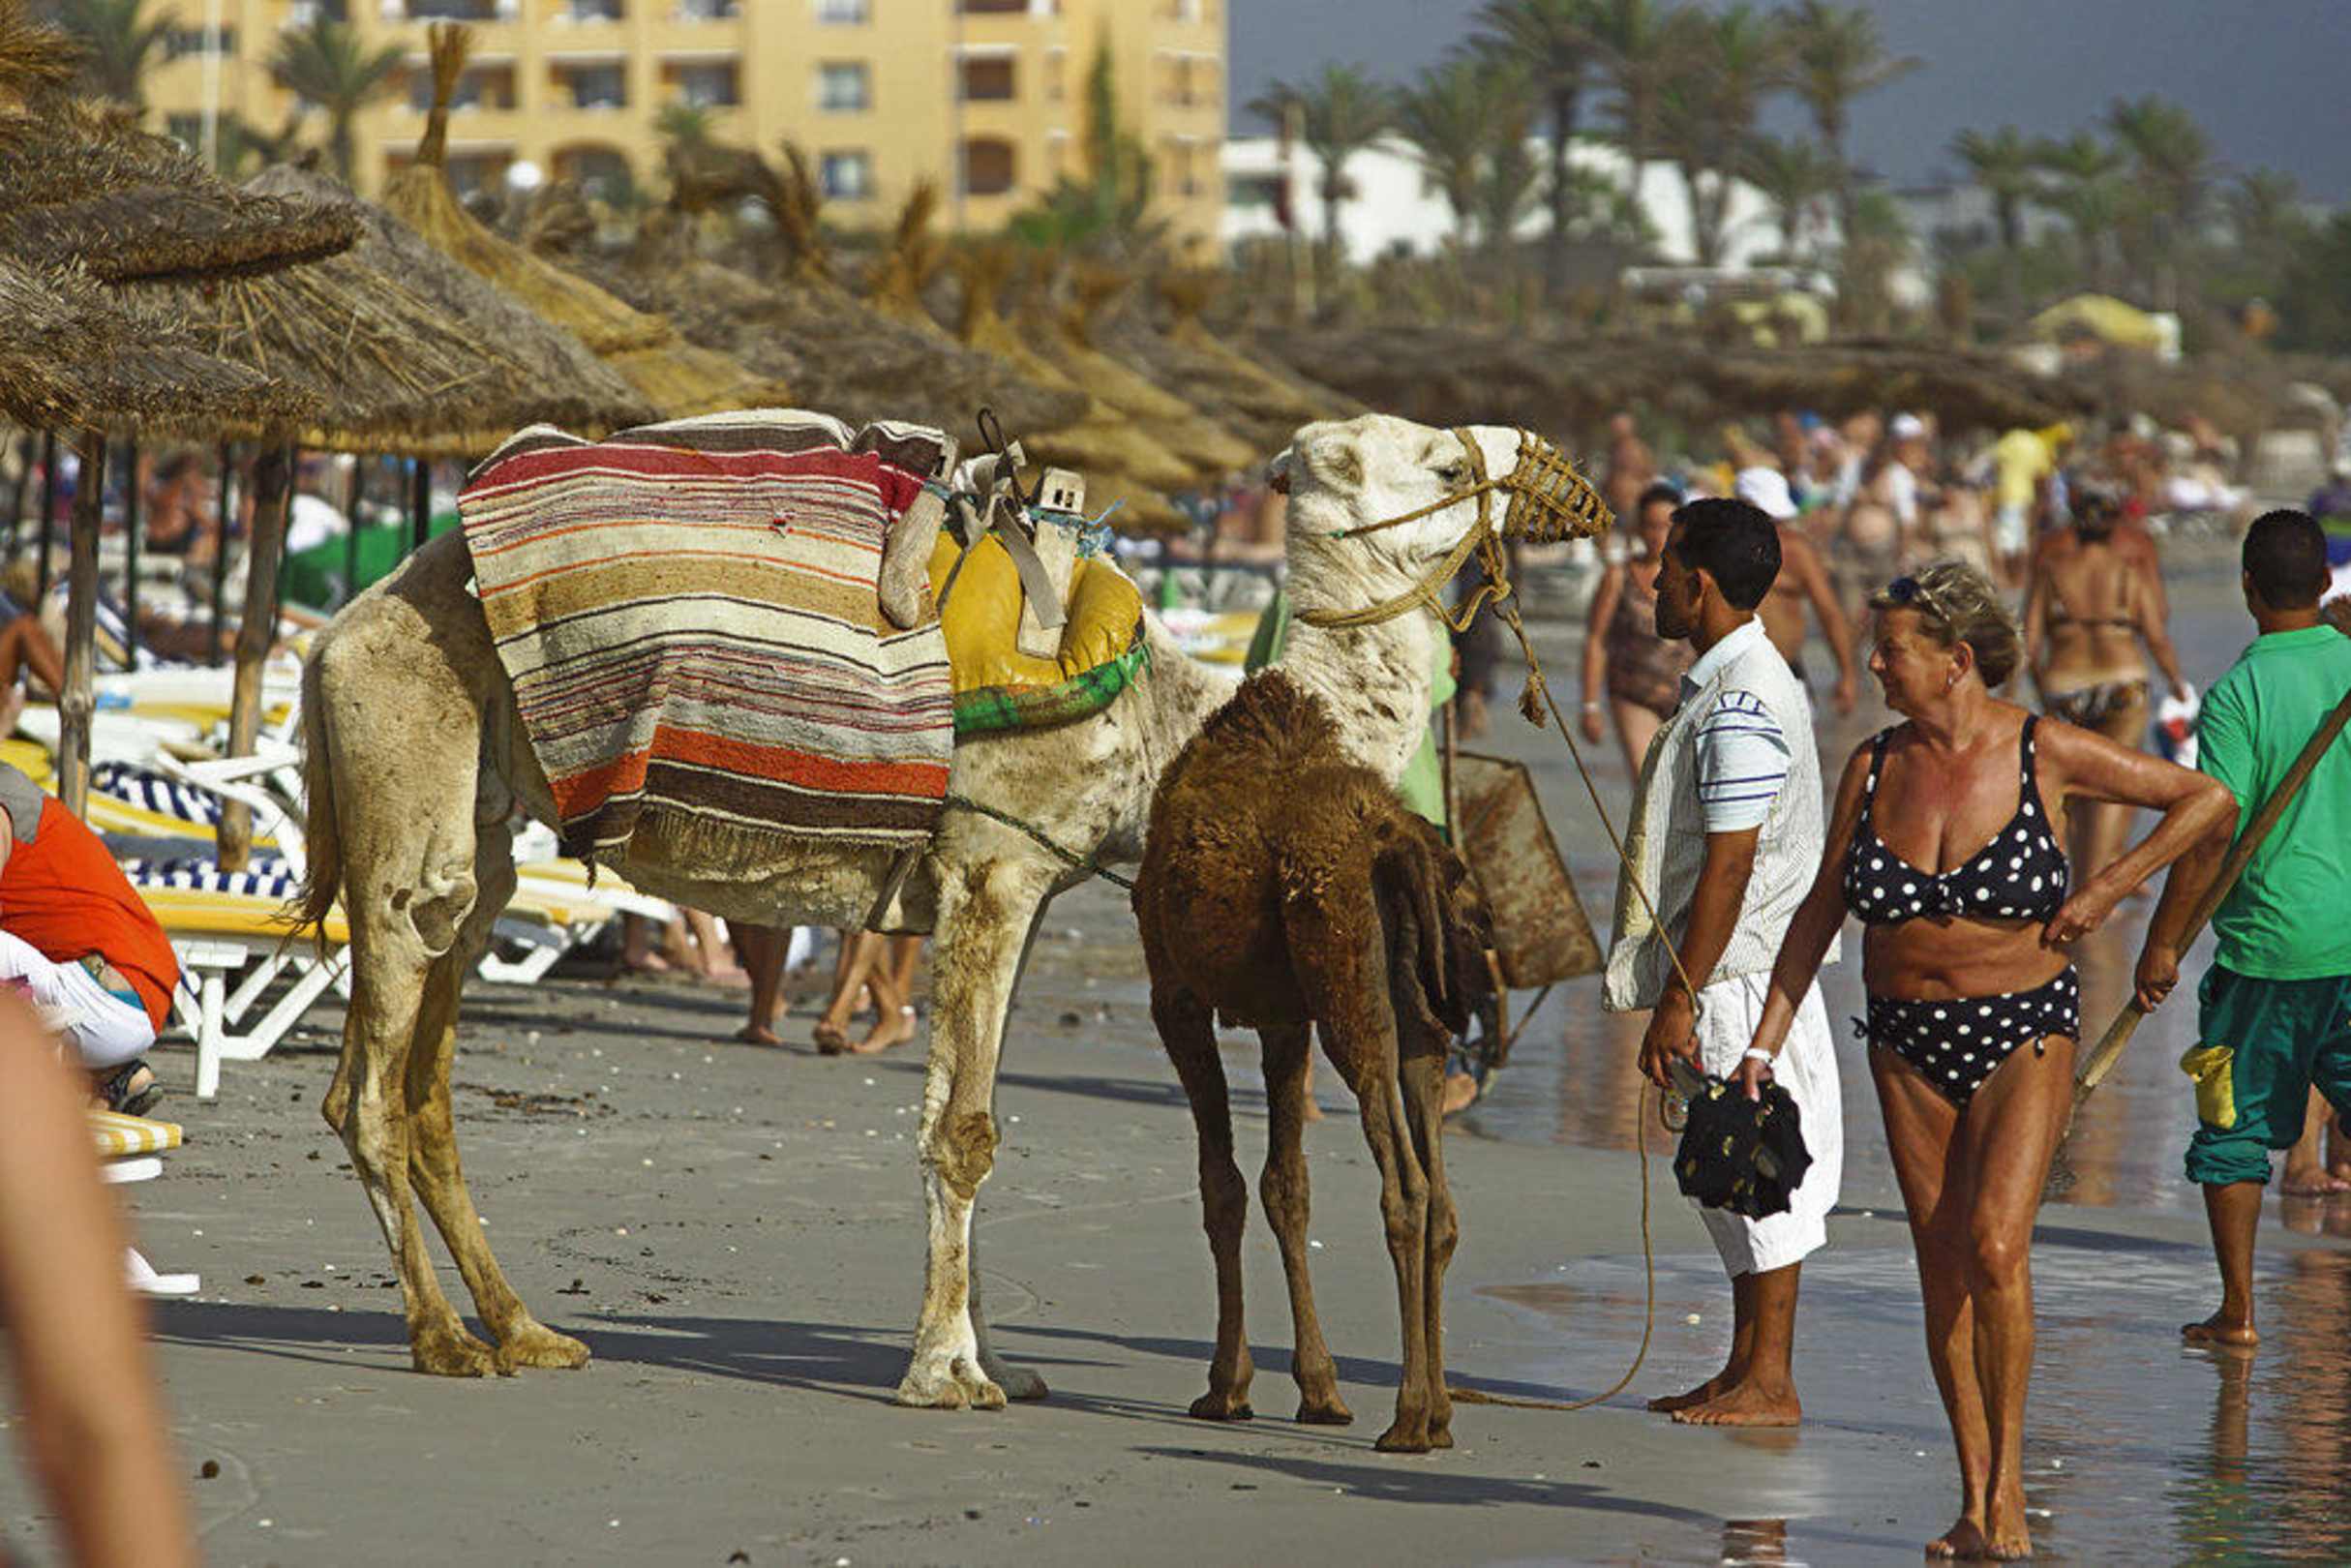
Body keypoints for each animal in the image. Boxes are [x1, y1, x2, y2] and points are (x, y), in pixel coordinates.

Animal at [1133, 668, 1493, 1453]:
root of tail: (1399, 845)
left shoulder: (1175, 995)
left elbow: (1222, 1186)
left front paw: (1226, 1386)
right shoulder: (1282, 1016)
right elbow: (1285, 1186)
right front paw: (1318, 1388)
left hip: (1347, 990)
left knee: (1405, 1187)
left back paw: (1408, 1417)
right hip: (1416, 1014)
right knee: (1443, 1195)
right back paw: (1441, 1415)